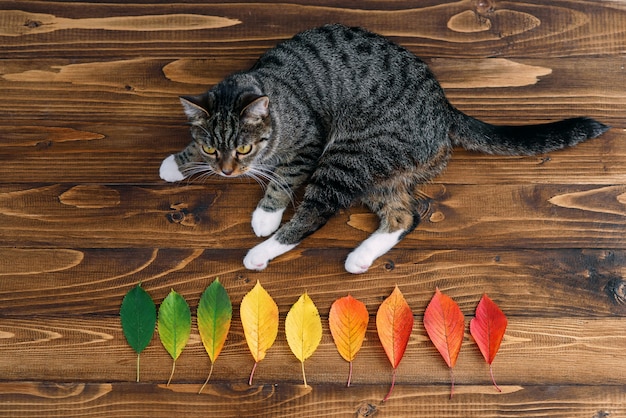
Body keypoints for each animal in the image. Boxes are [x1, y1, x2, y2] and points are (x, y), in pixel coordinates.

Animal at [158, 25, 608, 274]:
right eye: (213, 149)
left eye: (245, 148)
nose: (227, 171)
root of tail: (444, 108)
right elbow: (190, 147)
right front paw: (175, 163)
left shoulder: (308, 141)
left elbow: (282, 179)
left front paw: (265, 215)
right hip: (378, 169)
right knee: (406, 215)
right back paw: (360, 257)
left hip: (348, 154)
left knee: (316, 213)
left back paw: (260, 252)